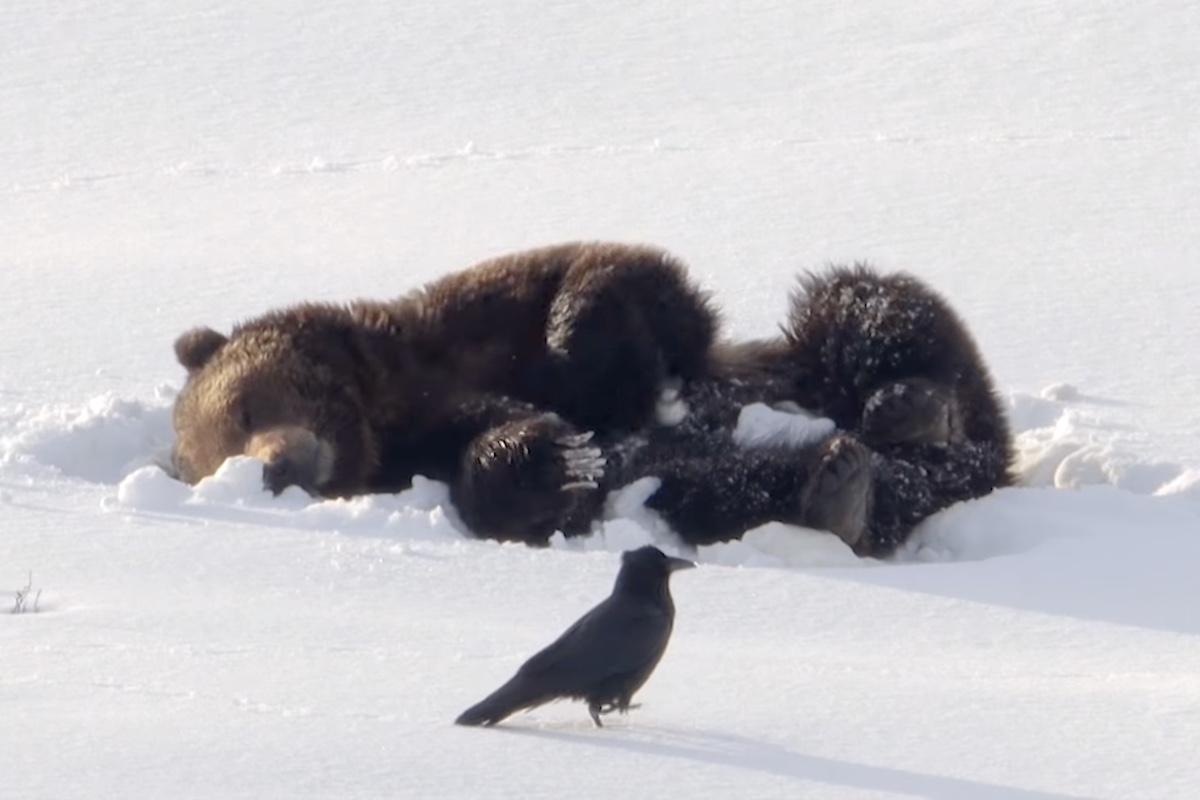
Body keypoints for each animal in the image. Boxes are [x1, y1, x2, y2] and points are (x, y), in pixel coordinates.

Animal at [169, 241, 720, 543]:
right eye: (219, 462)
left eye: (243, 410)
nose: (275, 469)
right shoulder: (414, 444)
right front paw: (561, 459)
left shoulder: (462, 321)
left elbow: (597, 275)